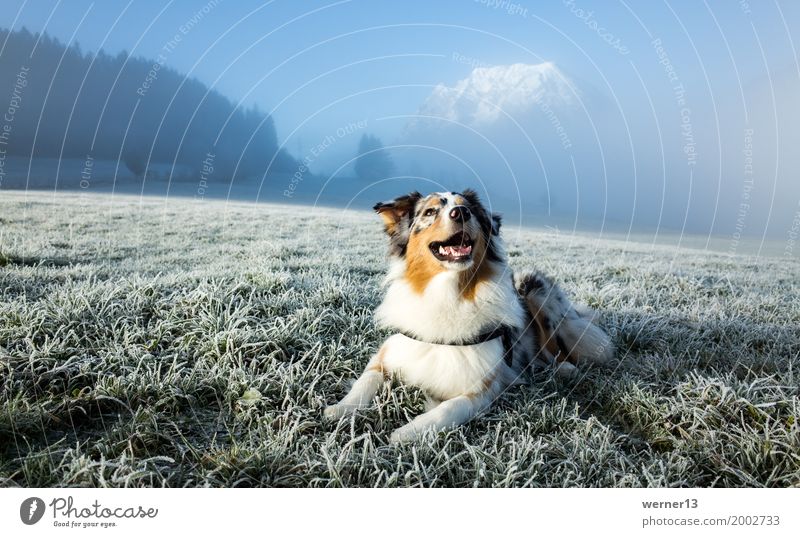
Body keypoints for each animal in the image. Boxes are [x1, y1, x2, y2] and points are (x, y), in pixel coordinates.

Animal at [324, 191, 612, 442]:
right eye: (430, 212)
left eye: (470, 210)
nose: (461, 213)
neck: (447, 295)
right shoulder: (389, 353)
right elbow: (365, 381)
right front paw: (340, 409)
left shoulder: (483, 387)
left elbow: (449, 408)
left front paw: (407, 433)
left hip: (535, 288)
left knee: (553, 350)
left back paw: (564, 368)